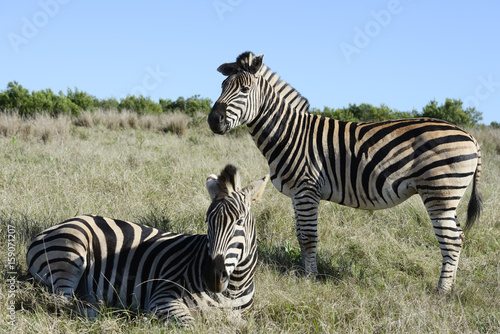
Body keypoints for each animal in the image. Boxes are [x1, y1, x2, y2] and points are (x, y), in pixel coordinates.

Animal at [26, 164, 270, 324]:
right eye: (207, 222)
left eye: (239, 222)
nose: (212, 277)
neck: (234, 288)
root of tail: (55, 226)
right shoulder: (164, 296)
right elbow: (191, 325)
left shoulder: (241, 317)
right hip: (69, 255)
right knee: (59, 302)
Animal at [207, 50, 480, 292]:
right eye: (222, 86)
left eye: (244, 90)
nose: (213, 120)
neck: (290, 133)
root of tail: (471, 137)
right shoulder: (297, 193)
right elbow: (300, 235)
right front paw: (304, 274)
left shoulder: (307, 188)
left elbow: (308, 236)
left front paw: (310, 279)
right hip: (448, 197)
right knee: (458, 236)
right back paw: (451, 286)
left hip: (439, 192)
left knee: (451, 240)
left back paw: (442, 291)